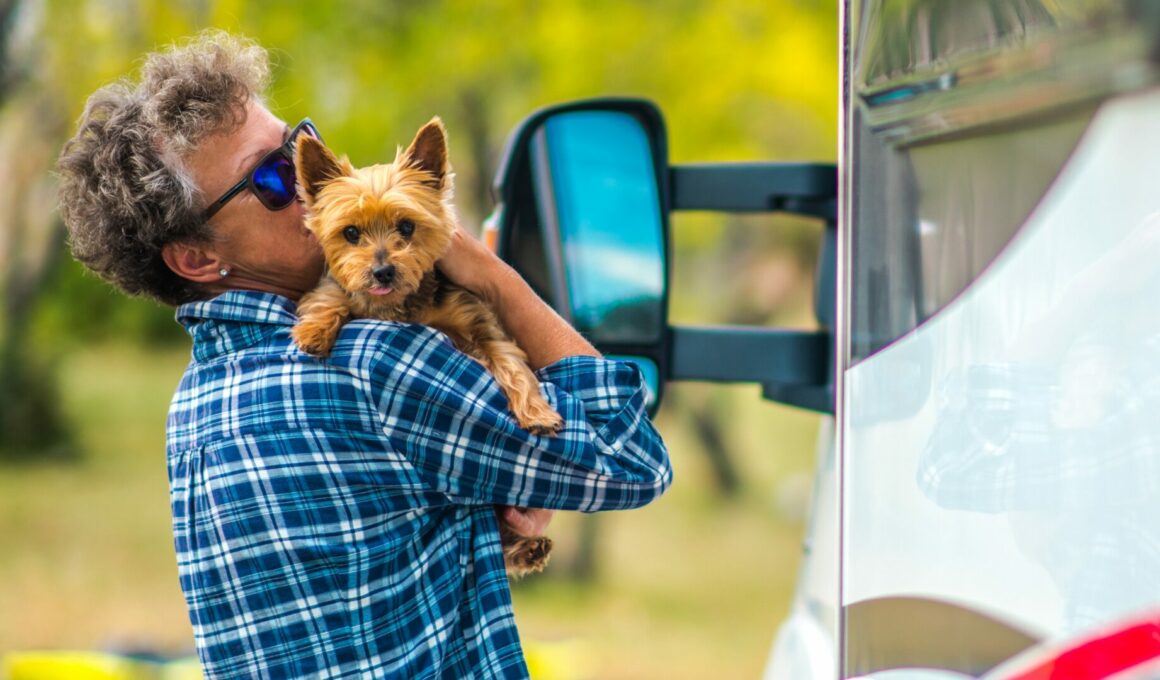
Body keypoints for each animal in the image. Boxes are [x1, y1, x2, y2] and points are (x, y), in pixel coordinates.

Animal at [292, 118, 559, 575]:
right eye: (350, 233)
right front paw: (314, 331)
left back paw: (526, 547)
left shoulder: (479, 322)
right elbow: (332, 296)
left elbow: (510, 365)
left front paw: (537, 413)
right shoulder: (345, 290)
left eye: (406, 226)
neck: (401, 305)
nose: (382, 271)